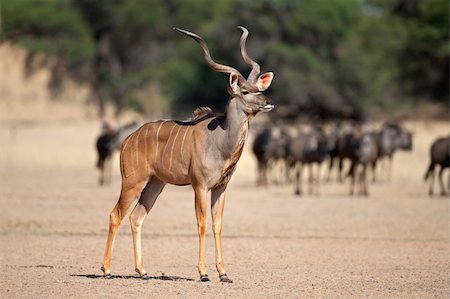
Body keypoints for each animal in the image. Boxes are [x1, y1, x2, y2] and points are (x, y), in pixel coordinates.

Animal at [101, 26, 274, 284]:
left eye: (260, 89)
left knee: (136, 218)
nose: (269, 102)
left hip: (155, 185)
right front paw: (203, 273)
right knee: (116, 215)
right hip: (133, 182)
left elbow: (217, 225)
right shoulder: (199, 186)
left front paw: (224, 273)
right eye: (245, 91)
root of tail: (127, 139)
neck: (220, 139)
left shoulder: (221, 188)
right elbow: (202, 224)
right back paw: (107, 270)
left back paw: (143, 271)